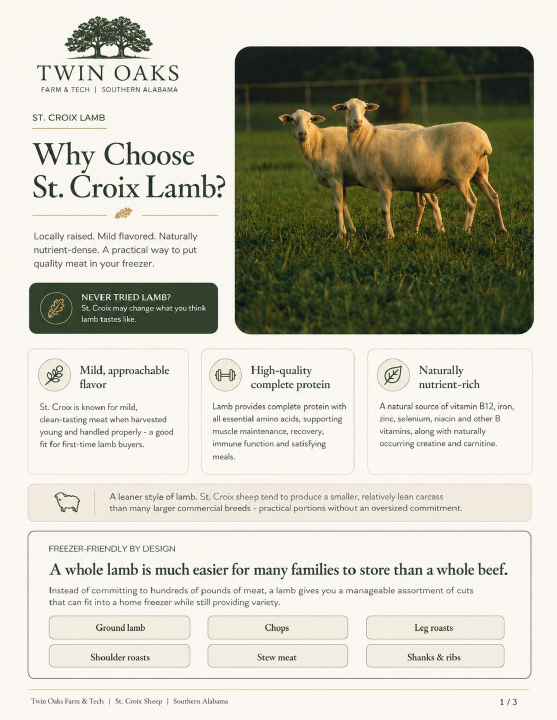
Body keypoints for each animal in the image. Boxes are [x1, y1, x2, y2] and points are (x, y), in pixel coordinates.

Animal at [278, 109, 444, 239]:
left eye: (310, 120)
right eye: (292, 120)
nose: (302, 134)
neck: (318, 142)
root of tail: (421, 127)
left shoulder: (334, 178)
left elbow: (337, 206)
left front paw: (340, 235)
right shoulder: (342, 180)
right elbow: (344, 205)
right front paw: (351, 231)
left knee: (432, 201)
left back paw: (439, 229)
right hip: (416, 179)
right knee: (421, 204)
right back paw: (414, 231)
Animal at [332, 98, 507, 239]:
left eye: (364, 108)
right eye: (346, 108)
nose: (358, 122)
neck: (366, 139)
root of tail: (485, 142)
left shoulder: (384, 181)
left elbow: (385, 211)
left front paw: (389, 236)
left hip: (461, 175)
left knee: (471, 201)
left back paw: (466, 231)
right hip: (479, 173)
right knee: (494, 196)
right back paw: (502, 230)